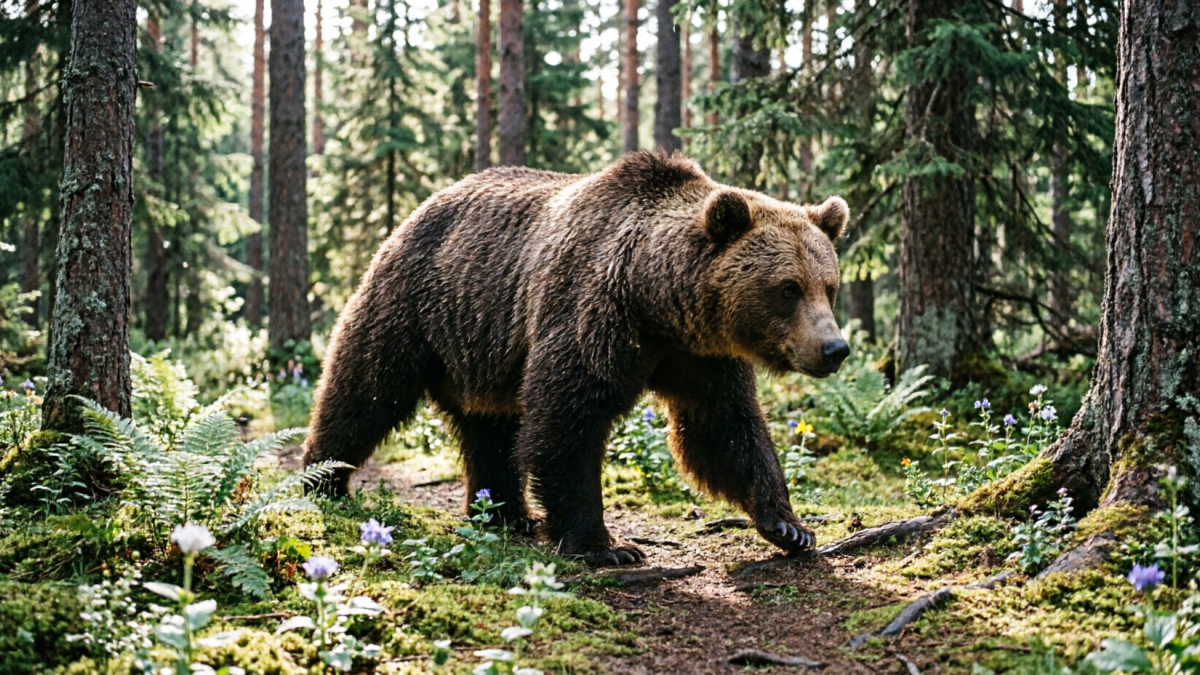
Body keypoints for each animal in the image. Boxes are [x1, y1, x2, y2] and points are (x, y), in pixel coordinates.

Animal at [302, 152, 851, 566]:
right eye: (787, 288)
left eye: (829, 286)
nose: (835, 349)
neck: (656, 300)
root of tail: (420, 208)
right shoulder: (592, 311)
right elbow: (567, 422)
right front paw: (605, 545)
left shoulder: (700, 356)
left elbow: (724, 428)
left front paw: (789, 526)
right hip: (417, 305)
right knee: (364, 389)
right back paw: (324, 479)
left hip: (484, 348)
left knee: (490, 429)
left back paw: (506, 512)